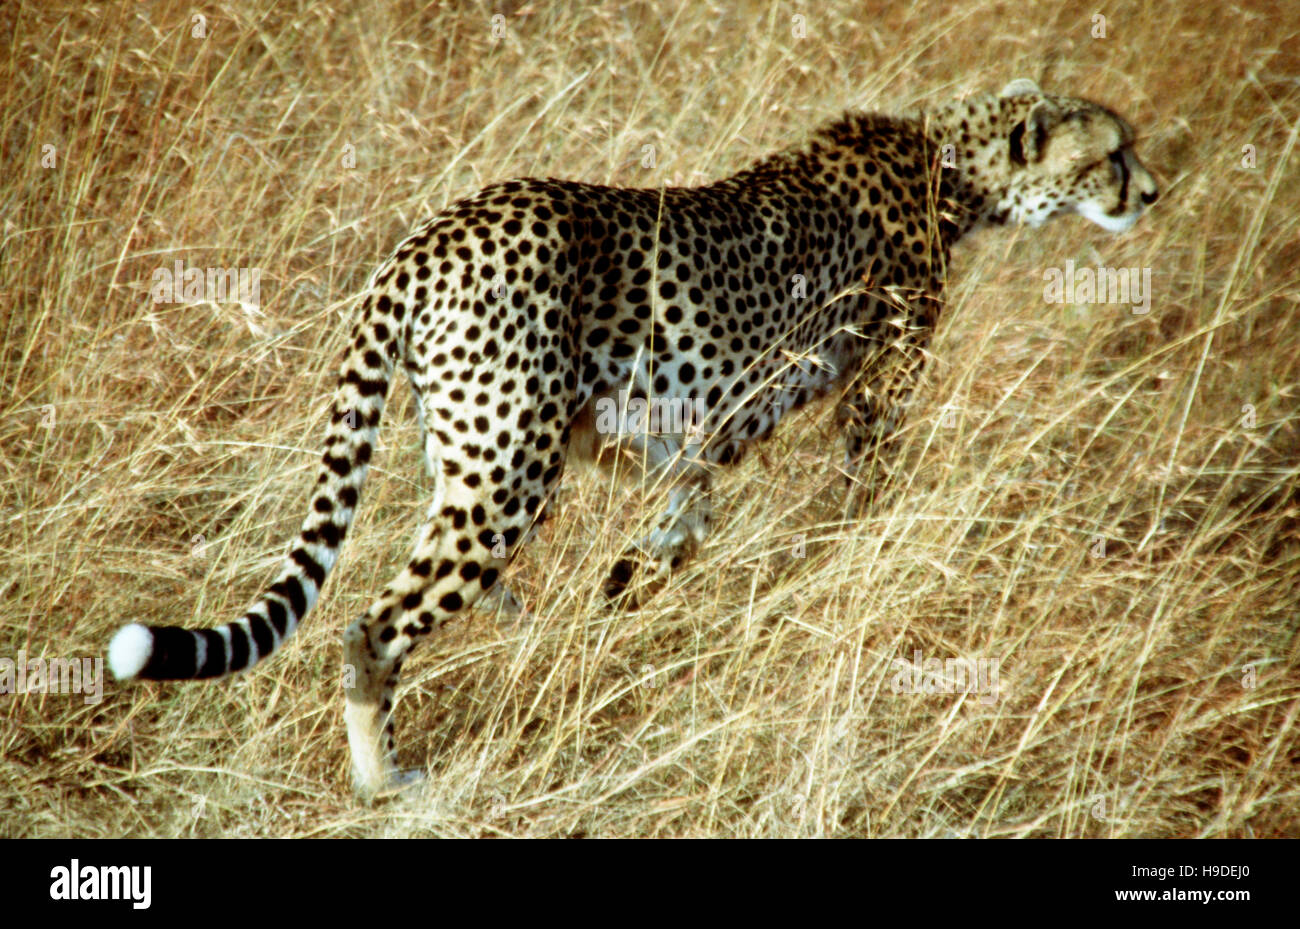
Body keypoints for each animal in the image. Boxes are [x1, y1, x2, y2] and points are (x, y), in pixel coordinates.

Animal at [109, 78, 1159, 800]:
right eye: (1114, 152)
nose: (1150, 192)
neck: (950, 164)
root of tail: (427, 237)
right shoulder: (872, 394)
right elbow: (856, 496)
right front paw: (843, 559)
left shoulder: (672, 443)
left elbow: (673, 531)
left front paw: (614, 610)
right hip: (507, 476)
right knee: (373, 624)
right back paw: (384, 782)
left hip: (473, 454)